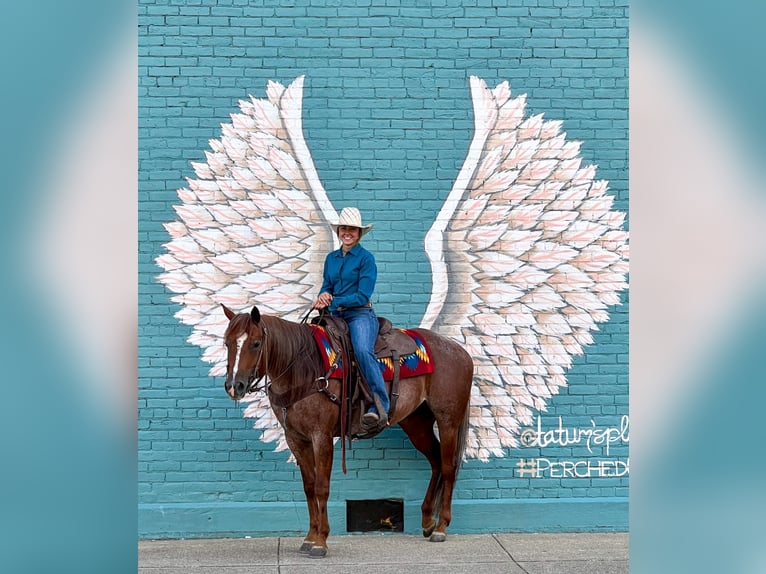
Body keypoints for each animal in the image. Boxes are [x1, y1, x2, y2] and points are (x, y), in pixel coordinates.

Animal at [222, 306, 474, 560]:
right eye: (227, 342)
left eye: (255, 343)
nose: (235, 386)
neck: (301, 368)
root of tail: (461, 352)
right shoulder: (296, 439)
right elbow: (309, 487)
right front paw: (309, 537)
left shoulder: (321, 436)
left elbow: (322, 487)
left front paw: (320, 541)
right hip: (416, 423)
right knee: (435, 461)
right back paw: (427, 521)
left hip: (448, 420)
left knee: (448, 467)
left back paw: (441, 527)